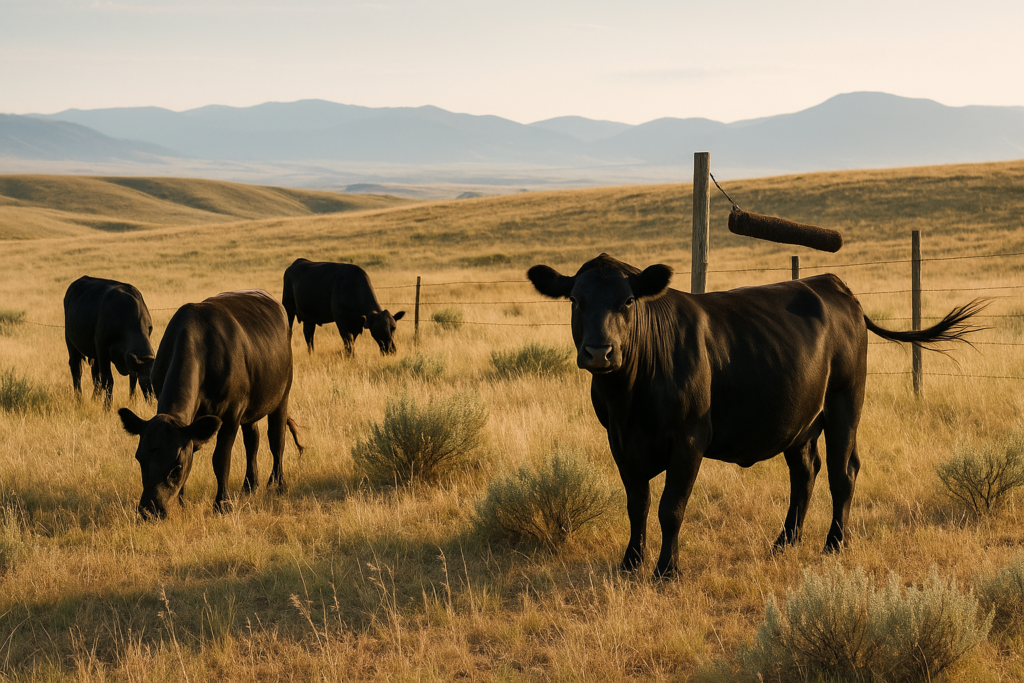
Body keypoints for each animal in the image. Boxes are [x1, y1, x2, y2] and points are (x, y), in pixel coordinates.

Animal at [64, 276, 156, 406]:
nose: (152, 401)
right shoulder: (103, 352)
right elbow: (108, 381)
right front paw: (107, 406)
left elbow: (132, 380)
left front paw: (131, 400)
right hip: (72, 345)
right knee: (76, 370)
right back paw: (79, 399)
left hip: (94, 356)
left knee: (95, 375)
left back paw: (94, 399)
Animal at [118, 289, 303, 518]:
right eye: (140, 459)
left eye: (176, 468)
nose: (150, 510)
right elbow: (193, 450)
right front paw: (181, 502)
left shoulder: (231, 414)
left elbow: (221, 459)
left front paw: (222, 504)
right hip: (252, 409)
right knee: (252, 440)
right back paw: (250, 485)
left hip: (281, 396)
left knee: (276, 439)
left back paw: (277, 485)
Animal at [527, 253, 984, 579]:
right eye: (576, 301)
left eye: (627, 301)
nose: (599, 352)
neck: (629, 398)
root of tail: (830, 283)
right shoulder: (620, 442)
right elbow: (636, 505)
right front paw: (629, 564)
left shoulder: (689, 439)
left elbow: (670, 507)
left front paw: (666, 571)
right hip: (801, 420)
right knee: (805, 473)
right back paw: (784, 543)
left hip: (845, 403)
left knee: (843, 473)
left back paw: (833, 545)